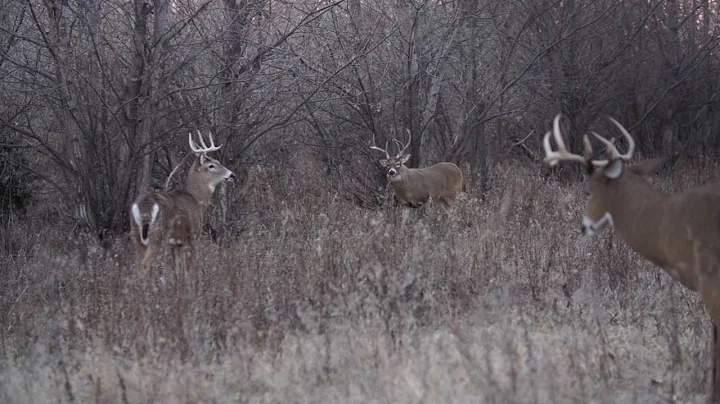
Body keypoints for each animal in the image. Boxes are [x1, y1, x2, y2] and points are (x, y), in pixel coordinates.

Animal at [129, 130, 235, 274]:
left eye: (218, 161)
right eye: (211, 165)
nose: (232, 175)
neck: (196, 199)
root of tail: (145, 206)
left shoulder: (176, 243)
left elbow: (177, 270)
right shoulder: (191, 237)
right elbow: (188, 269)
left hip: (136, 234)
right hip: (157, 235)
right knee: (145, 264)